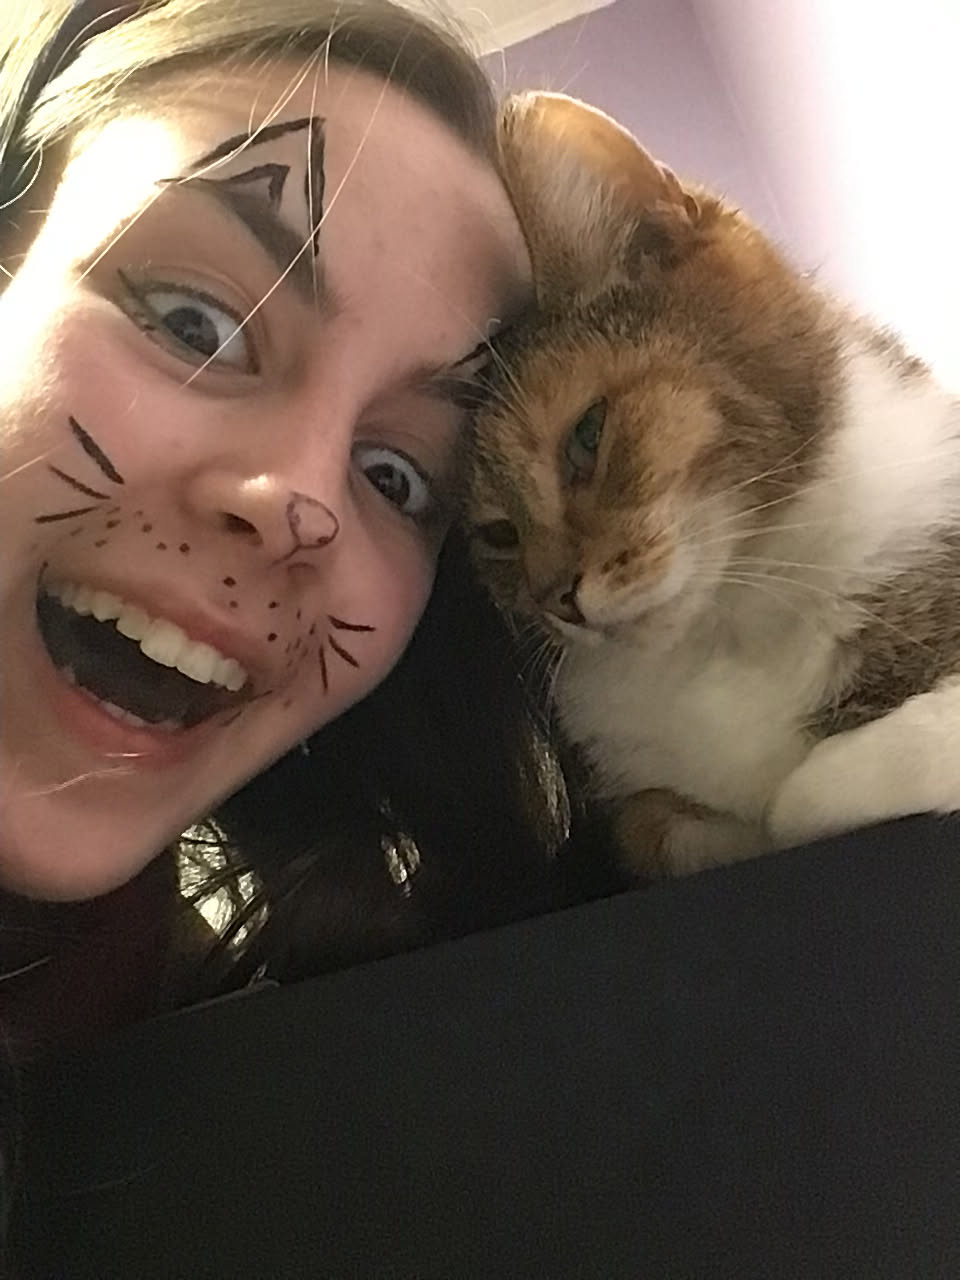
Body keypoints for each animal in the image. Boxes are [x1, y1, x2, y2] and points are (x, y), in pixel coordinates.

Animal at [466, 91, 960, 878]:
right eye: (498, 534)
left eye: (587, 437)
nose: (556, 601)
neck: (732, 626)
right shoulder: (642, 812)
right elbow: (658, 824)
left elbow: (804, 795)